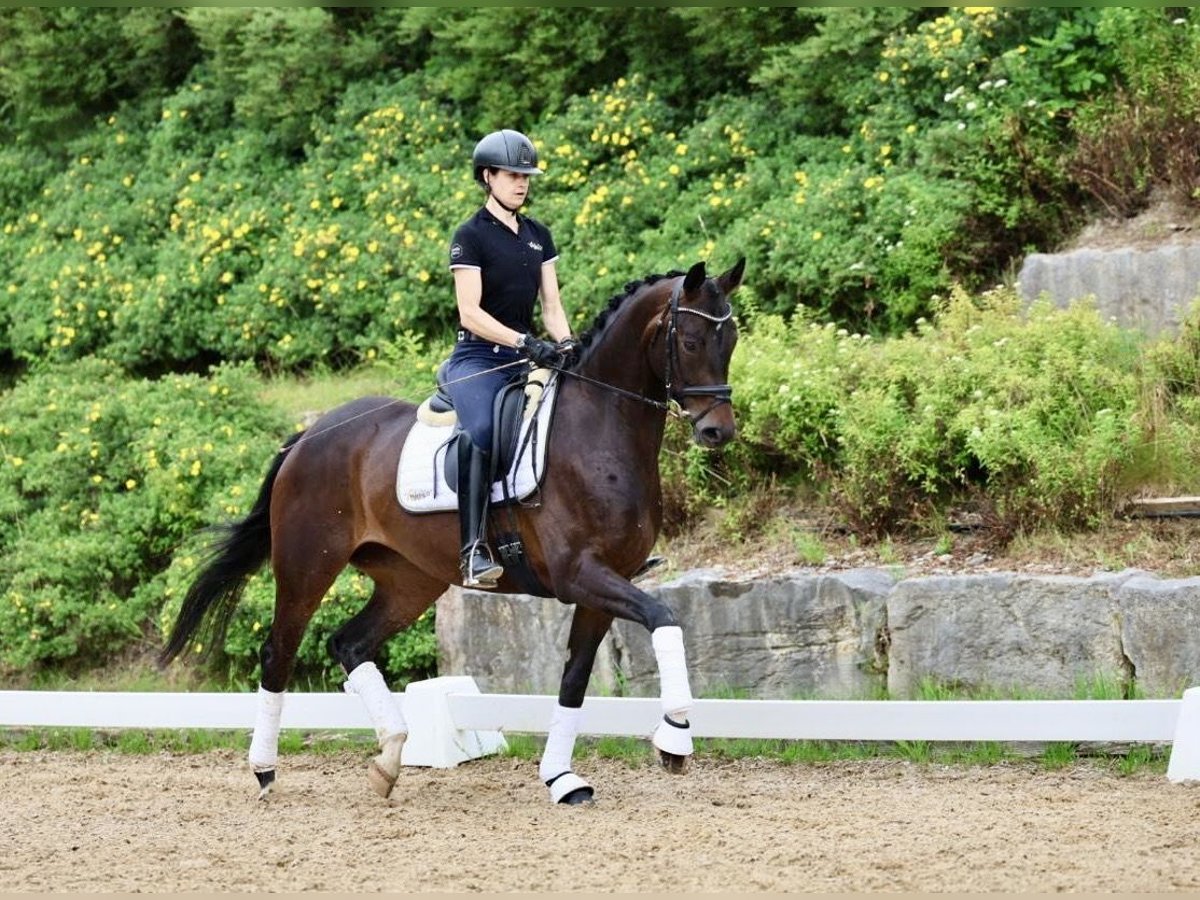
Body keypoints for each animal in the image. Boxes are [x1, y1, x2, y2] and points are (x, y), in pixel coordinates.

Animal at [157, 256, 739, 806]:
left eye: (730, 340)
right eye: (690, 341)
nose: (718, 431)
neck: (598, 429)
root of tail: (309, 434)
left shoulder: (604, 585)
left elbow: (574, 680)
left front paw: (562, 779)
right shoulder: (580, 575)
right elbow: (665, 618)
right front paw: (675, 737)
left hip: (410, 580)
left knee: (349, 643)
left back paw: (389, 758)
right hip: (307, 565)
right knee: (279, 651)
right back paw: (264, 770)